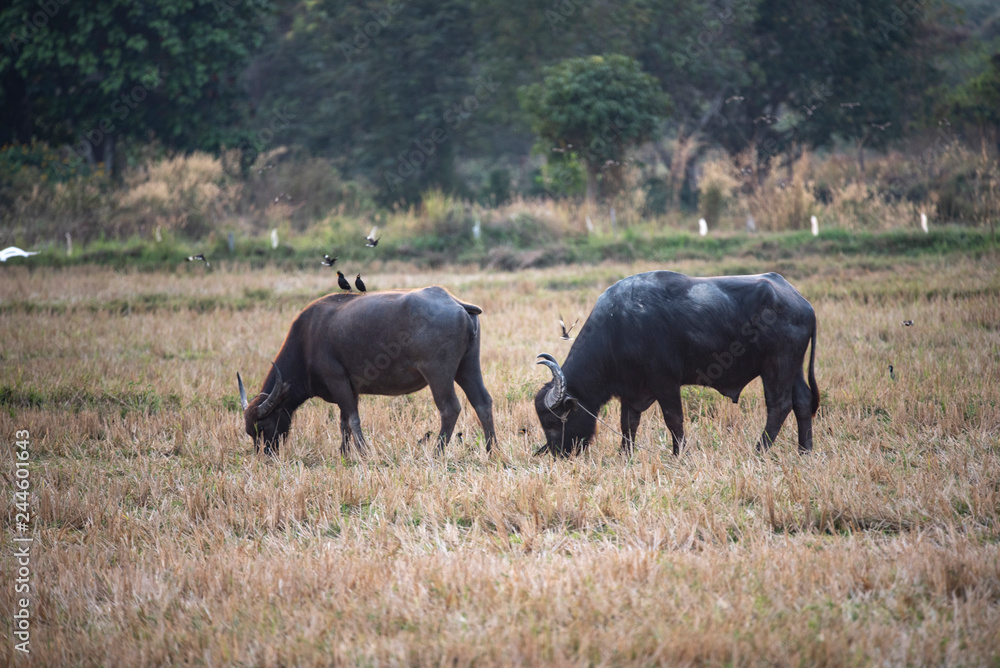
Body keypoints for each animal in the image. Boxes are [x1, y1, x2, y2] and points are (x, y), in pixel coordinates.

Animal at [238, 287, 496, 454]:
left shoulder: (338, 380)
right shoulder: (351, 389)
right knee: (482, 402)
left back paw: (437, 452)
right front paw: (344, 452)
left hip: (438, 373)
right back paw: (490, 448)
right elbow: (343, 420)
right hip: (467, 366)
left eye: (262, 426)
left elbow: (352, 418)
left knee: (449, 408)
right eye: (249, 432)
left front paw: (362, 451)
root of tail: (455, 302)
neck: (306, 340)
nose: (265, 455)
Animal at [534, 271, 819, 456]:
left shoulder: (665, 383)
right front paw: (625, 454)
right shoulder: (631, 389)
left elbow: (674, 419)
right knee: (802, 401)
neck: (619, 327)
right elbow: (628, 423)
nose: (557, 453)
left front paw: (678, 453)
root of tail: (802, 303)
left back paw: (760, 451)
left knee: (779, 406)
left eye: (551, 421)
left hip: (777, 365)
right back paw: (804, 450)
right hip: (793, 367)